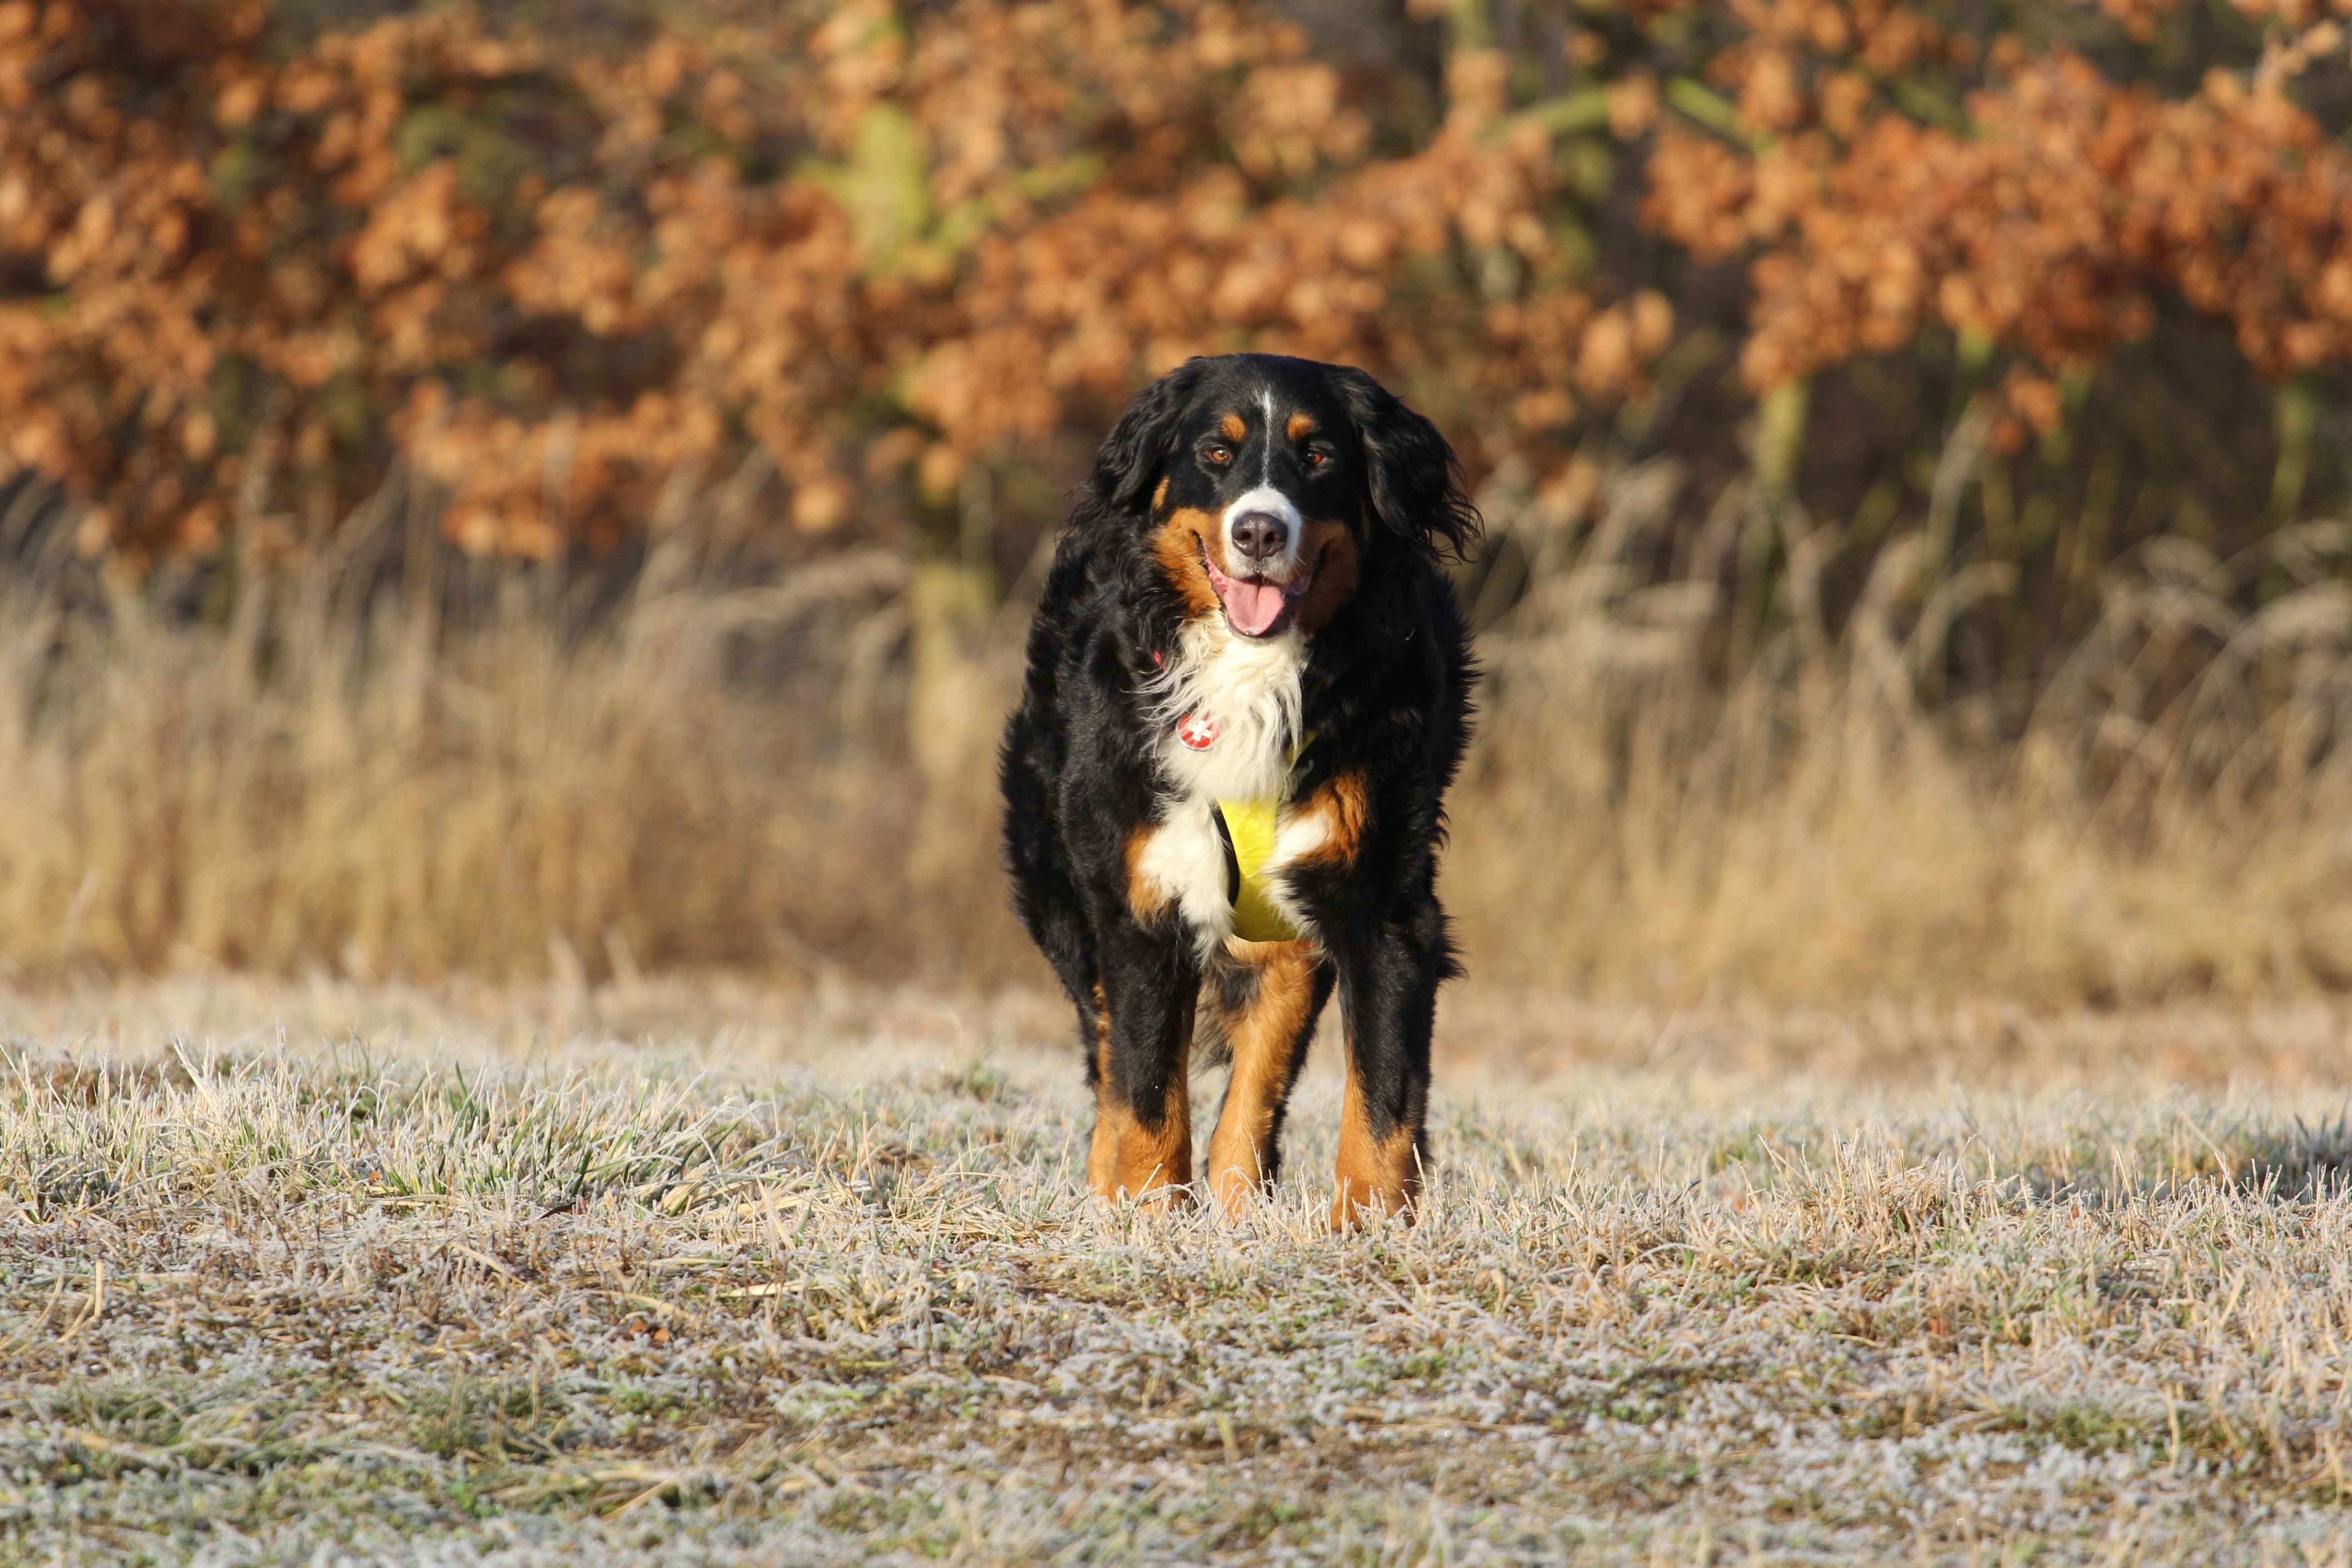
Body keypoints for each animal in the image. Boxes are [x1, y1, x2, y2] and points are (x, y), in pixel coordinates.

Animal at [997, 355, 1477, 1222]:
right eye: (1215, 454)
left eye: (1318, 455)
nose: (1258, 532)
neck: (1250, 673)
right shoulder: (1142, 898)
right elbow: (1147, 1094)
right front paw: (1147, 1221)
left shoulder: (1383, 902)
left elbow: (1380, 1100)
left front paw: (1369, 1230)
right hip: (1065, 894)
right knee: (1109, 1057)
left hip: (1280, 939)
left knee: (1256, 1085)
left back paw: (1235, 1207)